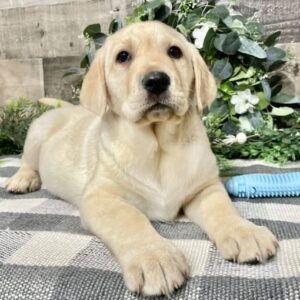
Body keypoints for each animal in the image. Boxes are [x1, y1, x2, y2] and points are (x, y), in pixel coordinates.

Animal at [6, 20, 278, 296]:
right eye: (123, 56)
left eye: (175, 52)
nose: (156, 81)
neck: (157, 146)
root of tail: (68, 107)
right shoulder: (101, 197)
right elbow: (130, 220)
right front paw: (155, 258)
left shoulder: (205, 187)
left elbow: (221, 207)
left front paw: (244, 231)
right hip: (36, 133)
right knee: (27, 161)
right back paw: (22, 180)